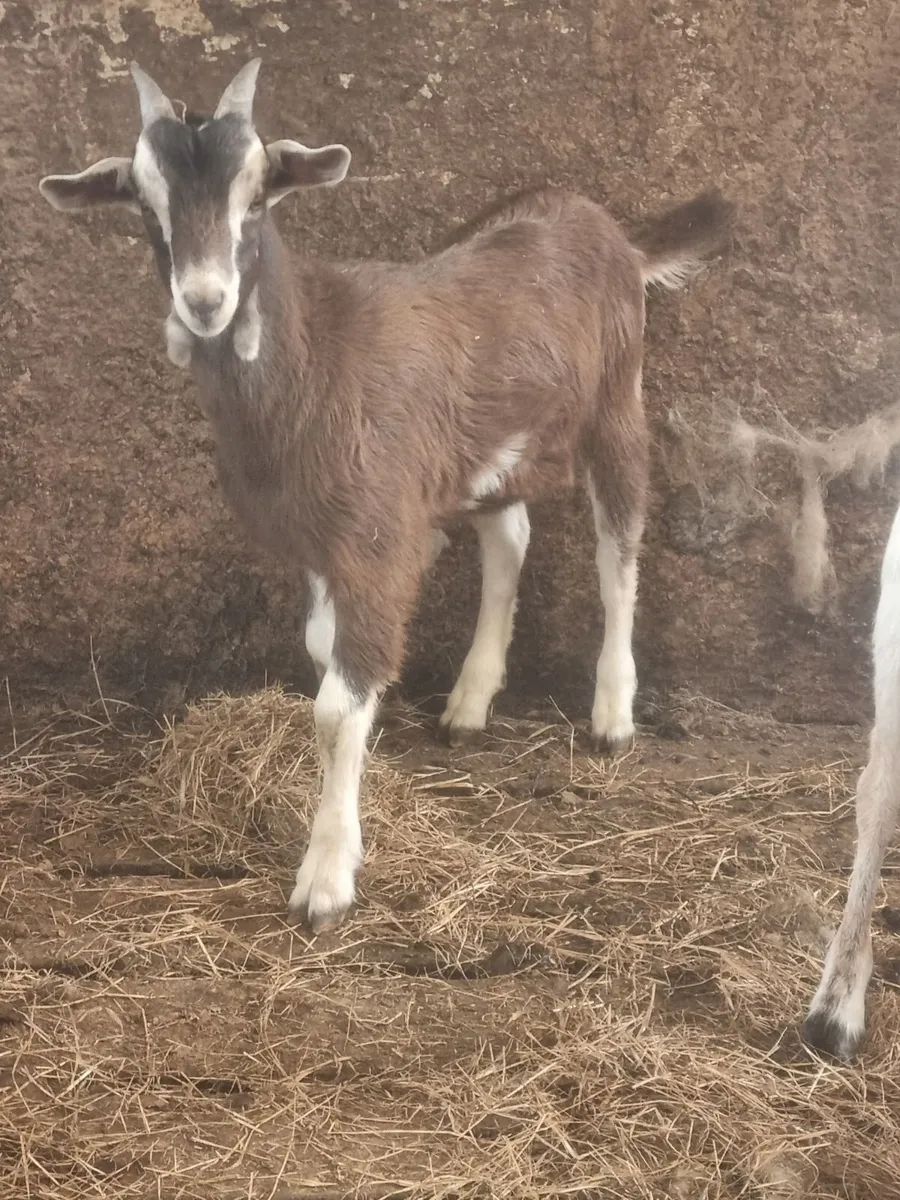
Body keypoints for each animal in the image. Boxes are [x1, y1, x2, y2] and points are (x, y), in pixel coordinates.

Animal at [39, 60, 734, 931]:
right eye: (144, 203)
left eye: (258, 196)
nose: (204, 301)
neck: (313, 361)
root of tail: (616, 234)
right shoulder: (318, 544)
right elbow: (321, 655)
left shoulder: (375, 538)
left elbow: (337, 706)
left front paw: (327, 880)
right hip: (486, 451)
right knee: (510, 539)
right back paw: (470, 701)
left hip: (616, 398)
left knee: (620, 545)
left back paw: (612, 716)